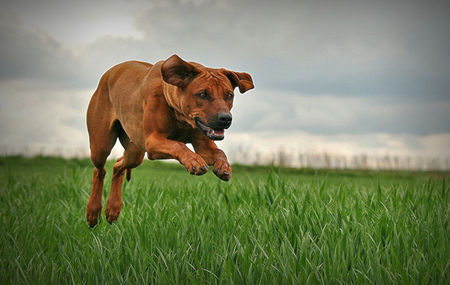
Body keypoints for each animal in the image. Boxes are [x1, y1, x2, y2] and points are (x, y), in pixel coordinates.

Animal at [84, 54, 253, 225]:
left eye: (229, 95)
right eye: (202, 94)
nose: (225, 118)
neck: (180, 116)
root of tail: (109, 73)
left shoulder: (204, 144)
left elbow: (220, 152)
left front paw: (224, 166)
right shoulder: (153, 141)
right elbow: (178, 145)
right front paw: (194, 161)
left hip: (134, 152)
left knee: (118, 165)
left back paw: (113, 208)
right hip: (101, 145)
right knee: (99, 170)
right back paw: (93, 210)